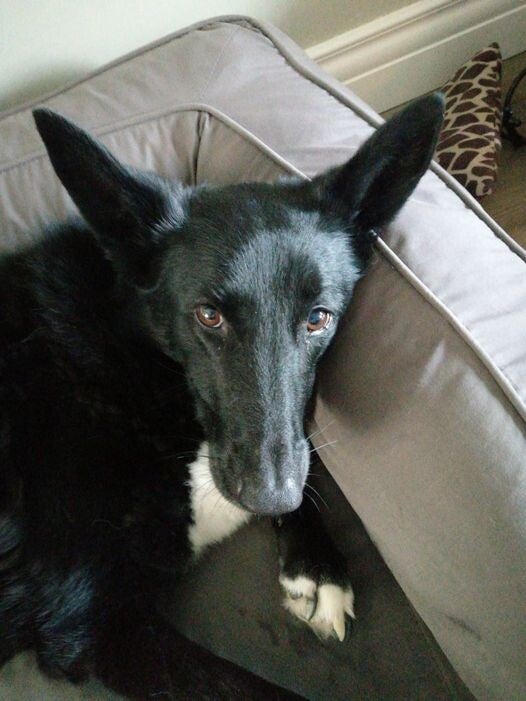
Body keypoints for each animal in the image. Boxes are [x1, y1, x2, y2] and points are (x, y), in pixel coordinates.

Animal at [0, 94, 443, 699]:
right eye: (208, 316)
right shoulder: (93, 625)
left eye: (318, 318)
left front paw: (316, 567)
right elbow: (250, 689)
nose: (270, 500)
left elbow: (307, 450)